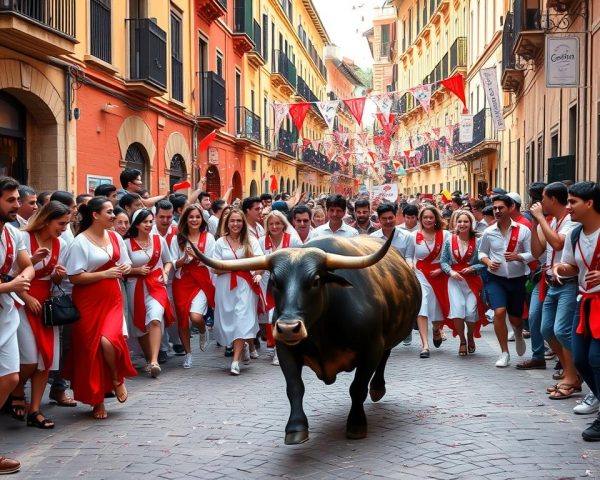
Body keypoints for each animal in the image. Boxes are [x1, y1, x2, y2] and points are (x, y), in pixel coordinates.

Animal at [191, 234, 418, 444]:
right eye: (275, 281)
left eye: (316, 281)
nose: (288, 328)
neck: (322, 333)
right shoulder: (285, 350)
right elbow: (295, 387)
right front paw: (296, 428)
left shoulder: (371, 349)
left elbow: (357, 388)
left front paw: (356, 424)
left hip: (387, 339)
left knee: (384, 358)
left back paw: (378, 389)